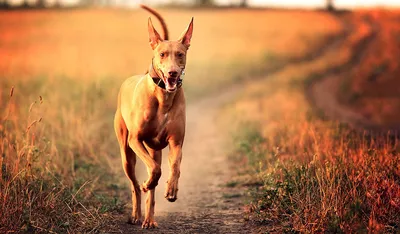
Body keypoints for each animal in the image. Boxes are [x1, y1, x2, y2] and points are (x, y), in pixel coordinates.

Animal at [113, 4, 193, 229]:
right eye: (163, 54)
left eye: (180, 54)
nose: (173, 73)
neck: (163, 97)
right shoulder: (135, 140)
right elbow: (155, 171)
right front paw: (148, 183)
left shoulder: (176, 142)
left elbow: (174, 167)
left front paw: (171, 190)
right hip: (127, 154)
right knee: (135, 185)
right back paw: (136, 213)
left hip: (154, 149)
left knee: (153, 179)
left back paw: (149, 219)